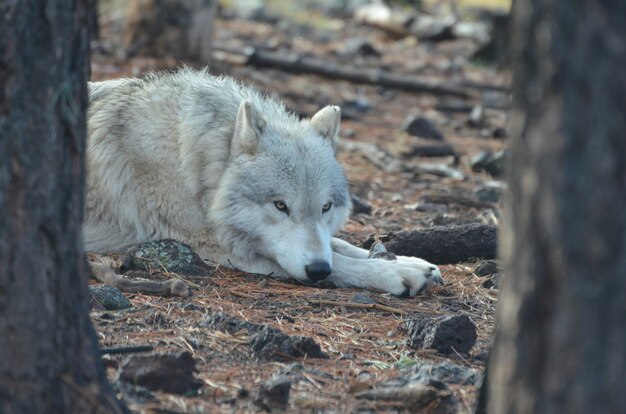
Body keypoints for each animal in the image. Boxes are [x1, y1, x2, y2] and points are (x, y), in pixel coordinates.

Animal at [84, 70, 444, 298]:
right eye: (280, 206)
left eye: (326, 207)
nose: (317, 271)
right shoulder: (220, 248)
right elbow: (342, 263)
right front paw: (396, 274)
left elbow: (340, 245)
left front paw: (411, 262)